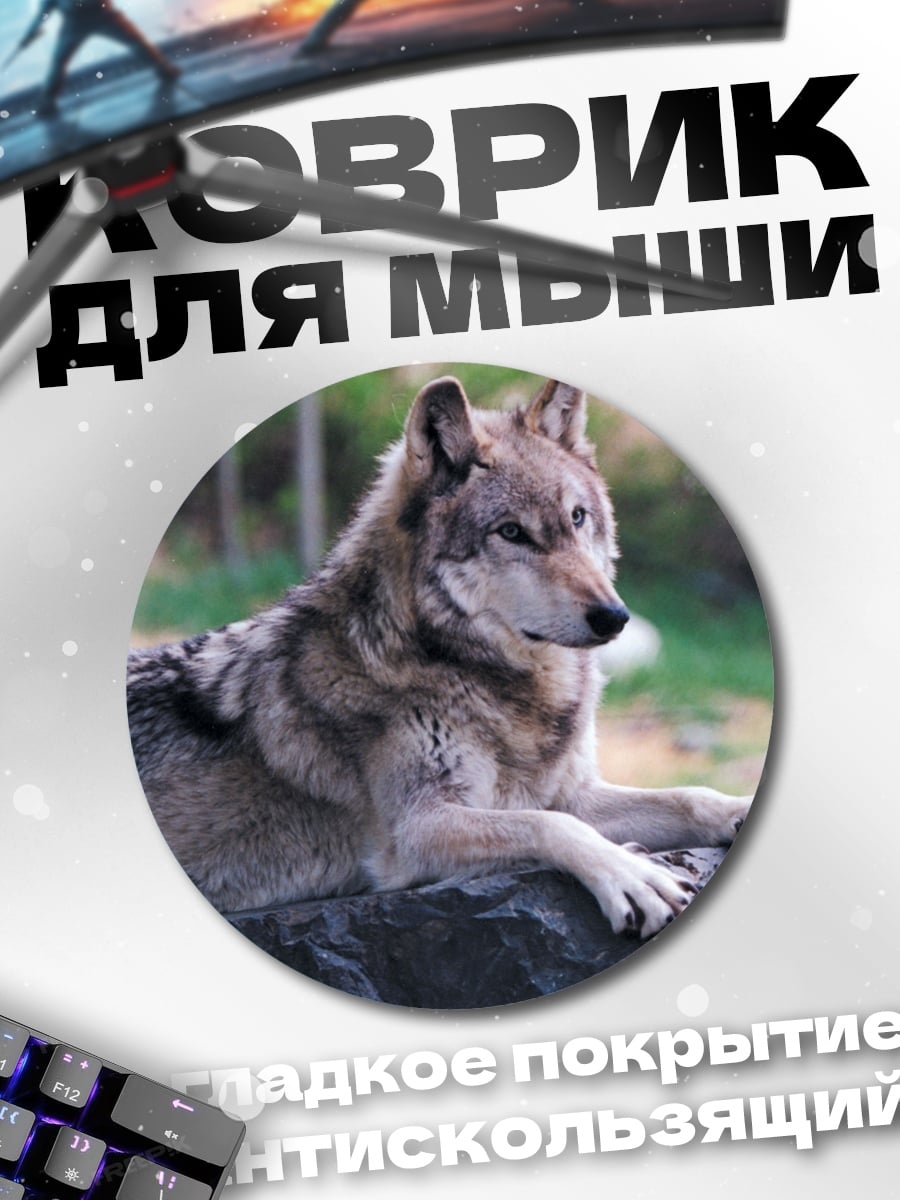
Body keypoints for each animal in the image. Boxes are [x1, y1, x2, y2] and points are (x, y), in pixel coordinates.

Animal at [128, 376, 752, 939]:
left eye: (577, 518)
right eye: (511, 532)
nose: (614, 617)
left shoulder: (572, 791)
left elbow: (688, 797)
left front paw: (740, 809)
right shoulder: (417, 834)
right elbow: (551, 826)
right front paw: (632, 876)